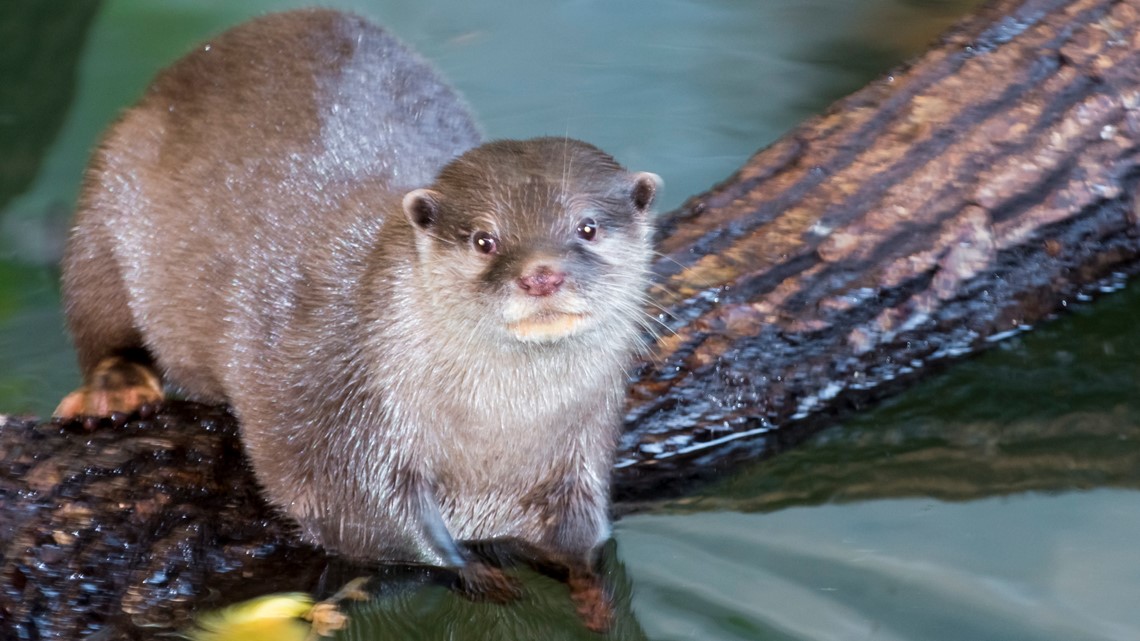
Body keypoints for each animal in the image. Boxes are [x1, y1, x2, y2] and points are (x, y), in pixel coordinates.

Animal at [55, 8, 659, 630]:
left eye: (587, 227)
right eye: (484, 239)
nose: (542, 274)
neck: (499, 438)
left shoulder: (586, 446)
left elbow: (585, 534)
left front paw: (590, 585)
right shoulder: (339, 410)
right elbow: (366, 522)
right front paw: (470, 570)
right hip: (106, 196)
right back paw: (116, 385)